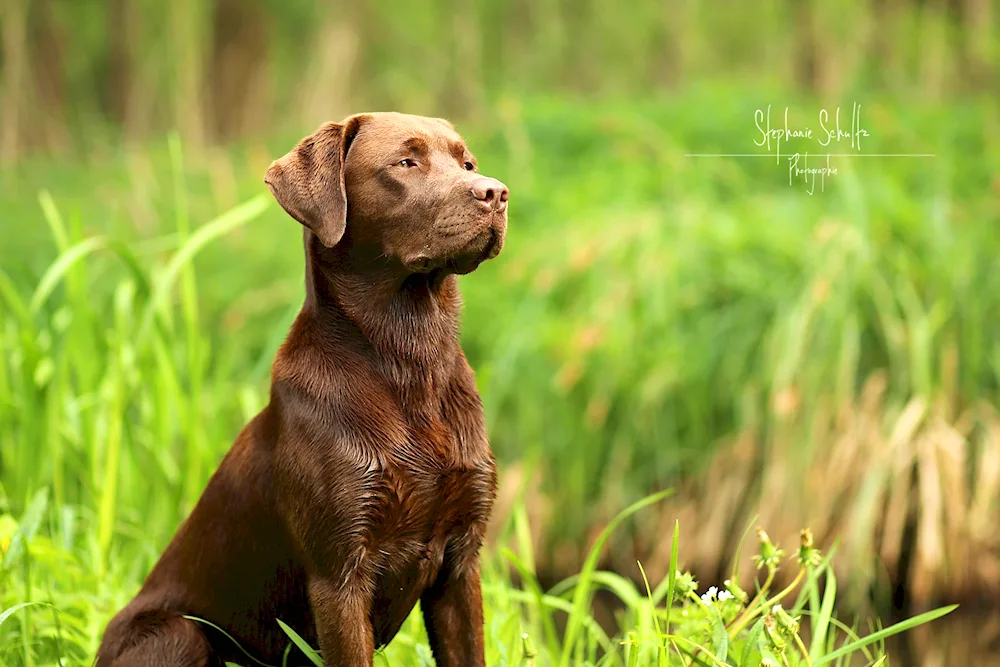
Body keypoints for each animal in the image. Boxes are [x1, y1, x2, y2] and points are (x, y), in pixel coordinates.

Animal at [95, 112, 508, 664]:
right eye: (406, 162)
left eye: (468, 164)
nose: (497, 192)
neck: (410, 364)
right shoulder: (339, 575)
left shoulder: (461, 563)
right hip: (179, 633)